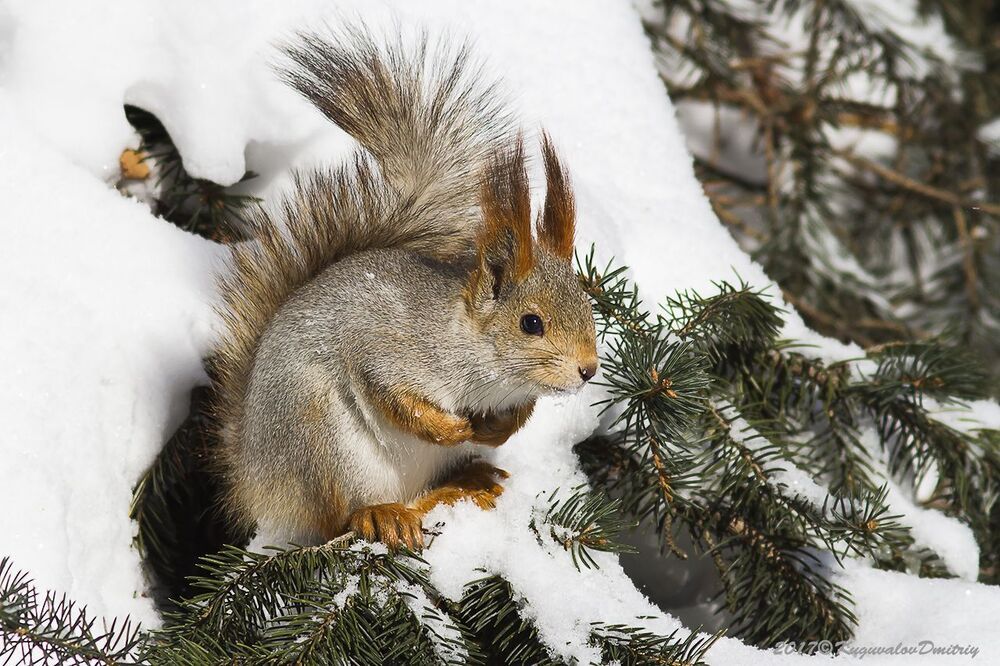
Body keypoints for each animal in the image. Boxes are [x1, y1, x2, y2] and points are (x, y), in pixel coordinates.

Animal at [210, 28, 599, 550]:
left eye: (588, 307)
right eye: (530, 323)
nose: (588, 369)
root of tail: (256, 480)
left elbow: (519, 415)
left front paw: (494, 430)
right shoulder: (384, 347)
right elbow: (393, 397)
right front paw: (449, 426)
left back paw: (469, 480)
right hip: (323, 442)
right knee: (341, 517)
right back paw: (385, 513)